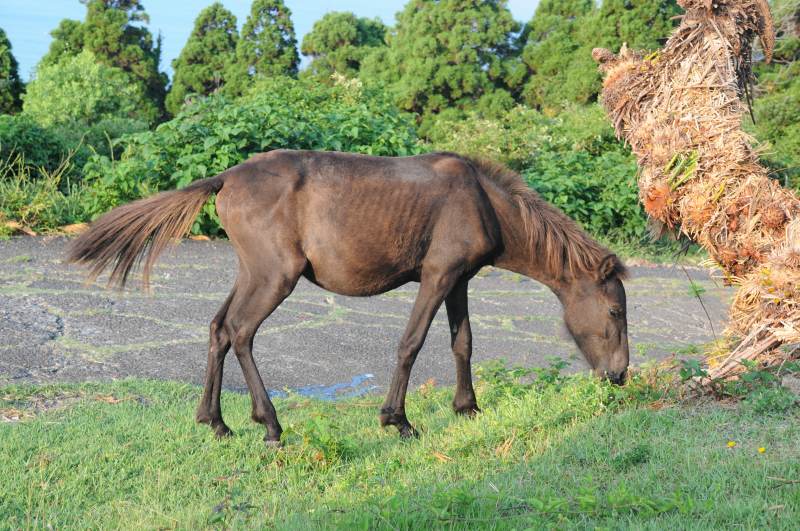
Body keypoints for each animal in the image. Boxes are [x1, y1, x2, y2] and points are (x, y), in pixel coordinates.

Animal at [69, 150, 628, 444]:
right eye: (616, 310)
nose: (619, 375)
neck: (482, 201)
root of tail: (225, 178)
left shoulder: (458, 281)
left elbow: (462, 344)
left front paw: (467, 408)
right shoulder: (437, 276)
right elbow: (411, 344)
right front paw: (397, 419)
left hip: (252, 273)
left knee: (218, 328)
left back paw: (216, 421)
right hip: (275, 277)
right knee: (241, 332)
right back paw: (269, 423)